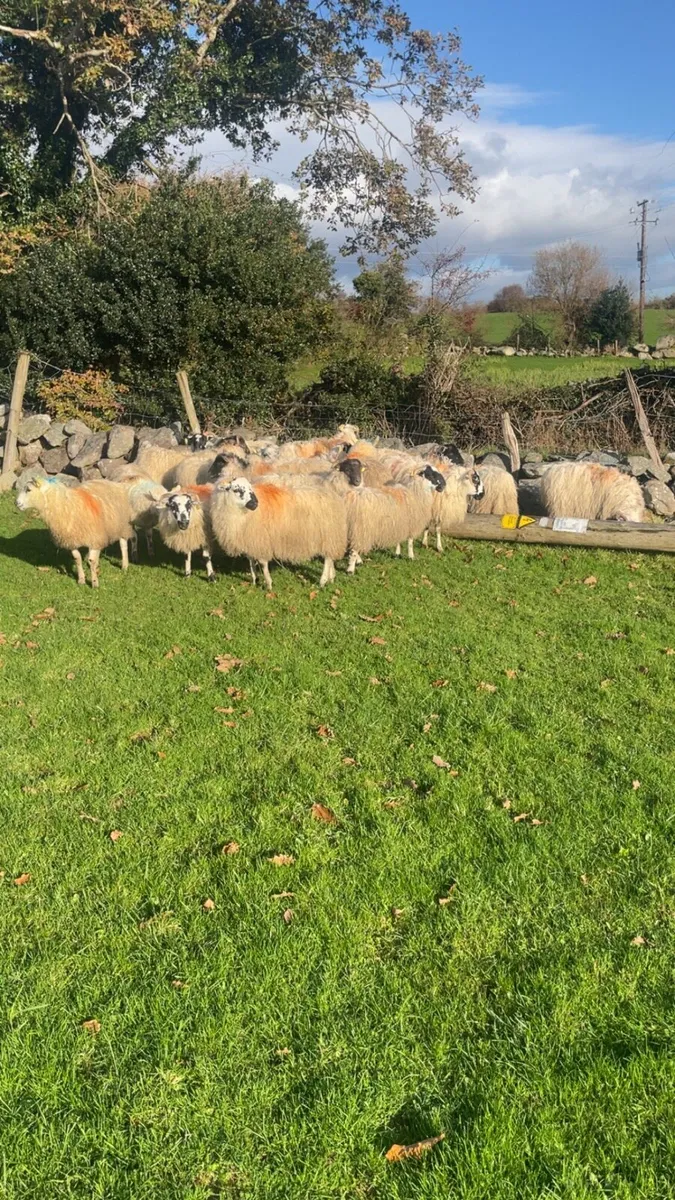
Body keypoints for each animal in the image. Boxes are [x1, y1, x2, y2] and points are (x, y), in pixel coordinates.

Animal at [210, 475, 348, 589]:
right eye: (236, 490)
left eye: (250, 488)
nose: (255, 503)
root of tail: (333, 496)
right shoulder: (250, 539)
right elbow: (251, 561)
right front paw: (255, 580)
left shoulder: (261, 540)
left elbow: (262, 563)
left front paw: (268, 584)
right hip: (332, 536)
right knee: (330, 557)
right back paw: (331, 578)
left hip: (328, 534)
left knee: (328, 559)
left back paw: (323, 581)